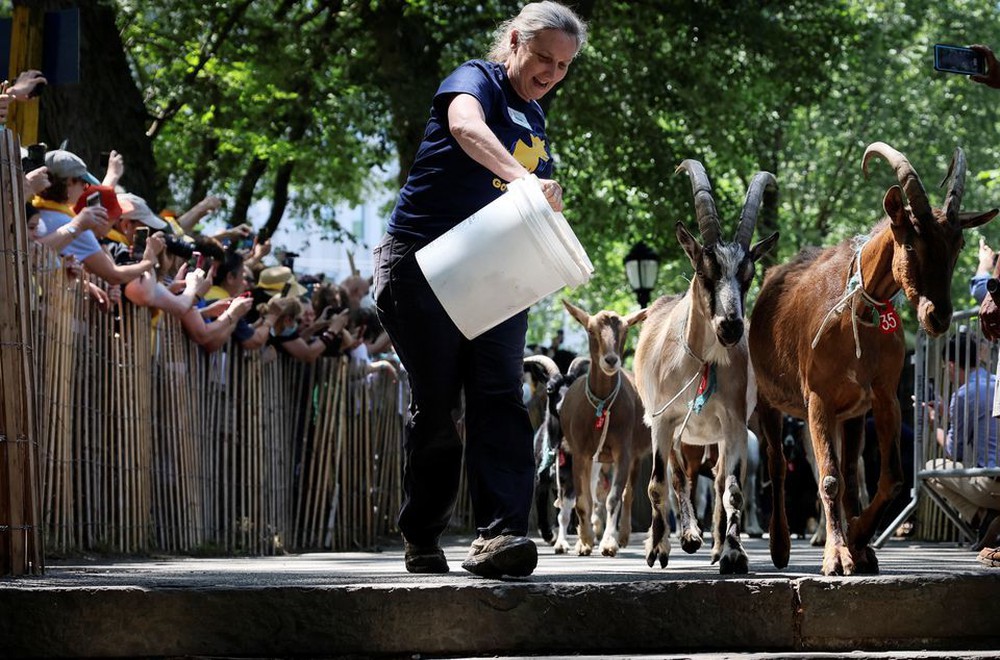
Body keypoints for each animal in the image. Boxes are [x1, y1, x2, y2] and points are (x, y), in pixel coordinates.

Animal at [560, 302, 644, 556]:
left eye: (625, 330)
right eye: (590, 330)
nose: (611, 360)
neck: (602, 406)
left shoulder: (623, 450)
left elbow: (615, 497)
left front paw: (608, 542)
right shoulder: (580, 453)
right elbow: (582, 500)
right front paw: (586, 539)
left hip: (635, 453)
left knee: (628, 493)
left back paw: (623, 535)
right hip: (594, 458)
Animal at [752, 142, 996, 576]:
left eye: (957, 248)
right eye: (911, 243)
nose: (937, 316)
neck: (856, 309)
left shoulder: (883, 396)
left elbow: (891, 477)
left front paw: (859, 540)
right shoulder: (817, 397)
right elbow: (828, 478)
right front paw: (836, 555)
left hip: (850, 416)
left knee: (852, 472)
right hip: (770, 398)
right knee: (778, 463)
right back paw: (781, 545)